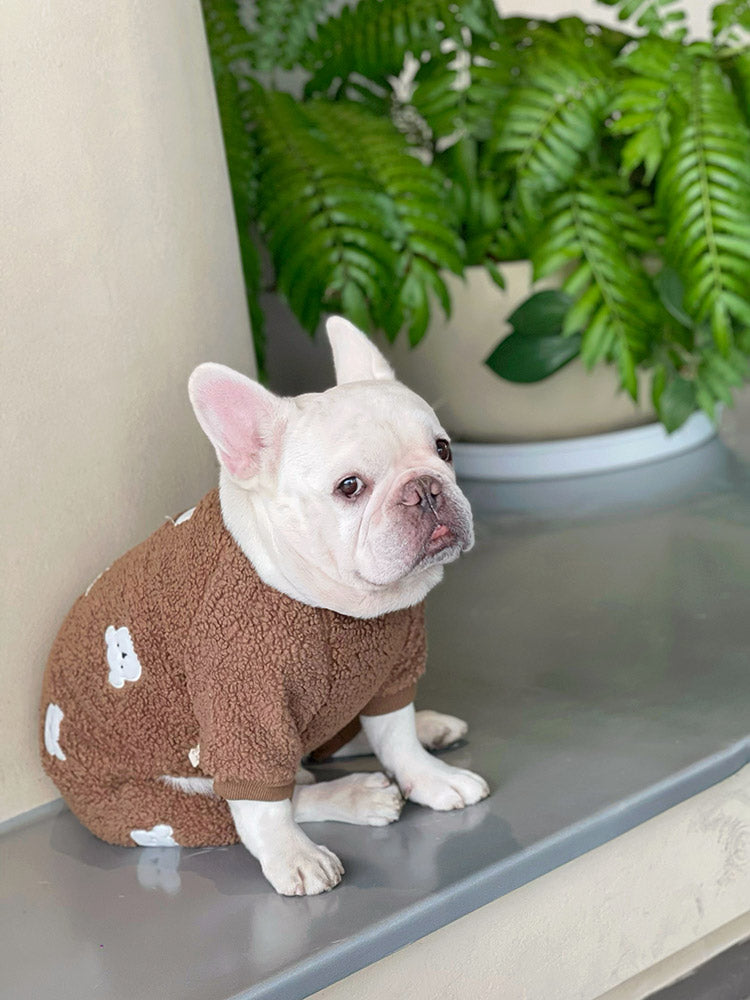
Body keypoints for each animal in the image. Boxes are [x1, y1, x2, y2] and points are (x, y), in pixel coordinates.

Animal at [41, 316, 490, 896]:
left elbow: (396, 735)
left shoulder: (392, 671)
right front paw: (293, 856)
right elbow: (264, 808)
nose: (426, 489)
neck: (340, 608)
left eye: (444, 450)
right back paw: (355, 797)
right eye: (350, 487)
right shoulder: (241, 699)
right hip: (157, 806)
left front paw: (430, 776)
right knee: (277, 795)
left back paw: (425, 727)